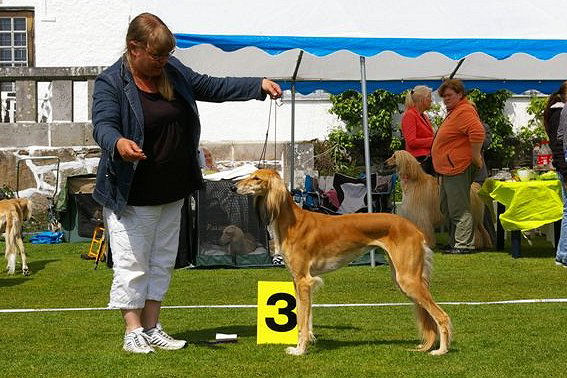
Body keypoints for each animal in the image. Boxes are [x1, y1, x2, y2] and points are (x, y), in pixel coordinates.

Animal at [235, 170, 452, 356]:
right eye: (251, 175)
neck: (293, 222)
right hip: (403, 277)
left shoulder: (304, 280)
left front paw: (300, 350)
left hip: (408, 280)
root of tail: (416, 229)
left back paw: (441, 350)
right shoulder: (300, 282)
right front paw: (307, 342)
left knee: (442, 316)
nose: (233, 187)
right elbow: (305, 316)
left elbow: (302, 320)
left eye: (256, 178)